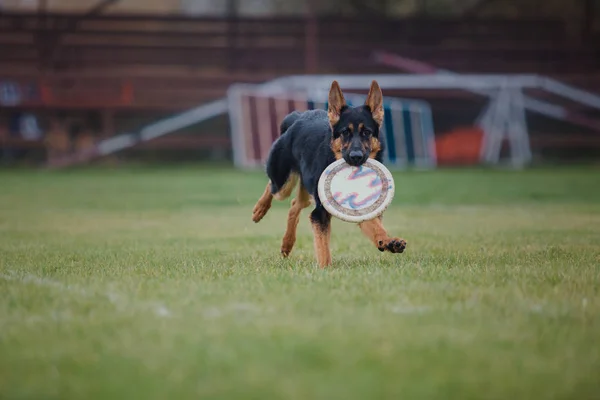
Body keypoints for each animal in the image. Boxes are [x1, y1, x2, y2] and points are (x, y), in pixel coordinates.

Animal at [248, 79, 408, 268]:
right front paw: (325, 269)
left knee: (295, 205)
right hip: (283, 184)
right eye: (345, 132)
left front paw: (388, 241)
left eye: (367, 133)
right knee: (272, 187)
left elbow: (376, 226)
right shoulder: (320, 213)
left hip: (306, 190)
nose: (355, 157)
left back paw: (287, 243)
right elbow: (323, 246)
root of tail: (297, 118)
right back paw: (260, 210)